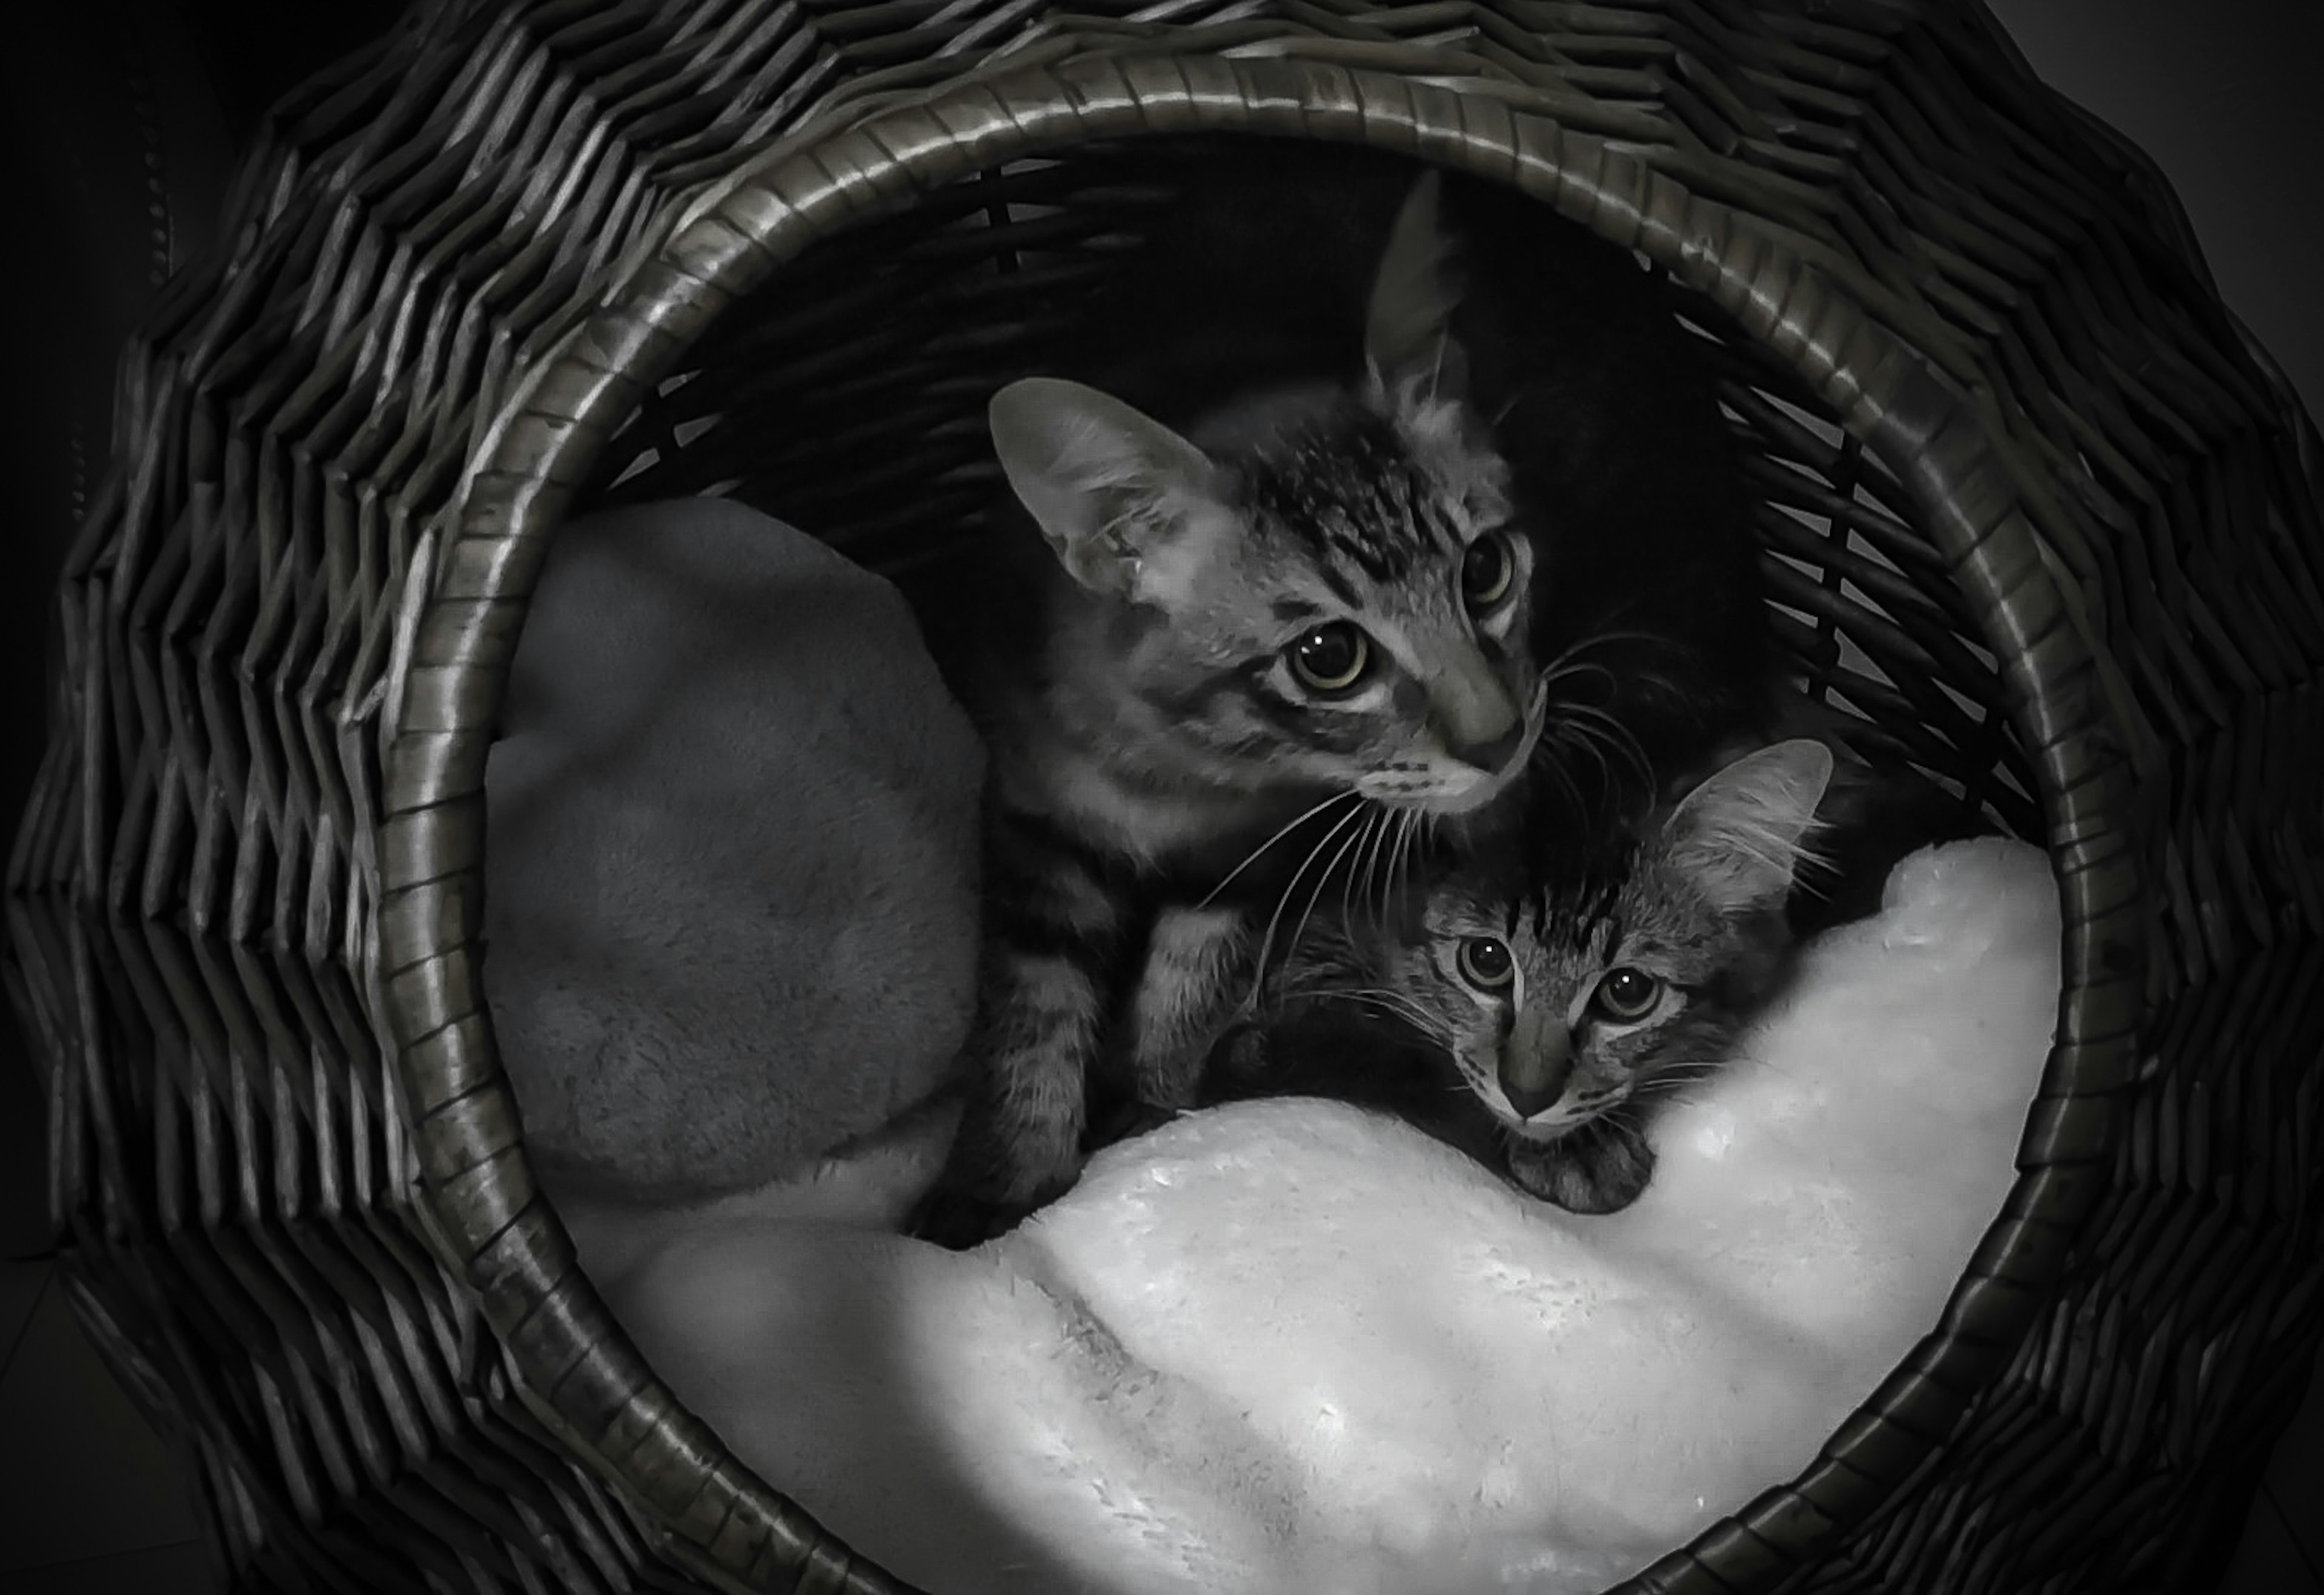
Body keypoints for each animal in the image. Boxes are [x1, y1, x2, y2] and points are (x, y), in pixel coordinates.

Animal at [1218, 744, 1831, 1218]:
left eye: (1628, 991)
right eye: (1486, 959)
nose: (1527, 1096)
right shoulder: (1280, 1002)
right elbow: (1413, 1055)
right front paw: (1580, 1153)